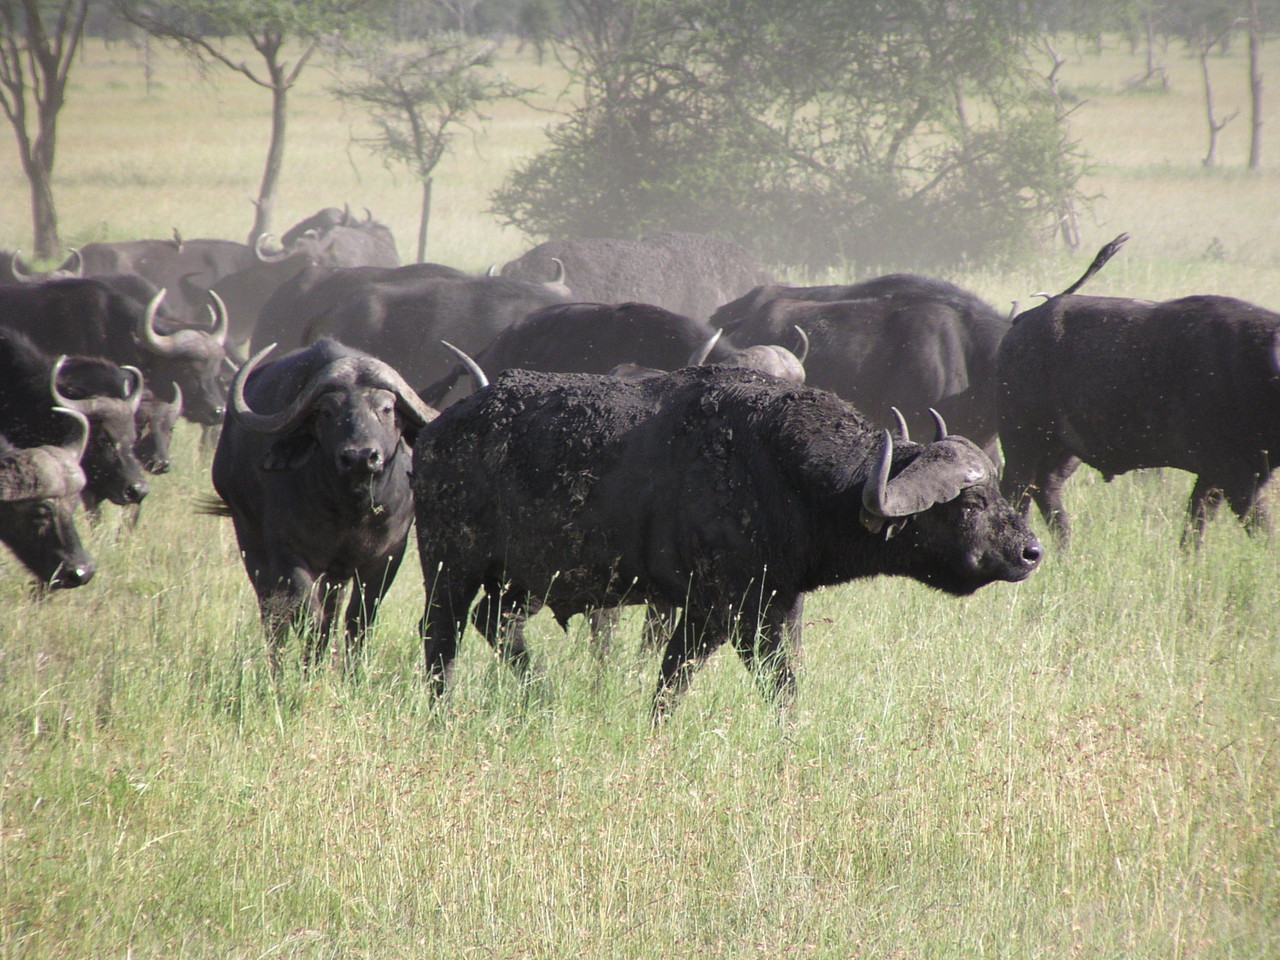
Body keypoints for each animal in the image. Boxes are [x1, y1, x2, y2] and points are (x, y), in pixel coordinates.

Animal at [213, 343, 440, 670]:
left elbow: (358, 620)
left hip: (336, 575)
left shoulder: (387, 556)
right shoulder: (288, 556)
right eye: (327, 411)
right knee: (274, 616)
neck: (350, 510)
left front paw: (351, 673)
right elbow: (308, 618)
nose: (360, 456)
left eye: (386, 408)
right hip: (250, 542)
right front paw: (311, 668)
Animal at [414, 368, 1044, 721]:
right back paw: (443, 715)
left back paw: (542, 698)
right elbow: (748, 683)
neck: (778, 471)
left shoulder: (757, 608)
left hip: (521, 581)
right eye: (969, 503)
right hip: (449, 566)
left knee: (496, 624)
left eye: (995, 488)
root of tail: (436, 430)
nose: (1030, 552)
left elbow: (697, 684)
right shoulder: (733, 611)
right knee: (440, 636)